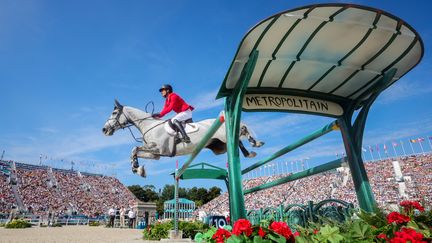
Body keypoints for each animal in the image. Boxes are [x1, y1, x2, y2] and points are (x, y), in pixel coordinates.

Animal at [102, 99, 264, 178]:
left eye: (114, 113)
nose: (104, 130)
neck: (149, 126)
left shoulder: (159, 149)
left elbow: (134, 149)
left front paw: (137, 168)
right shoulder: (155, 155)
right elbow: (134, 151)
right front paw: (138, 169)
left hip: (224, 135)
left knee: (241, 130)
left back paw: (255, 143)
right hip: (220, 147)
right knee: (237, 140)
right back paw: (250, 152)